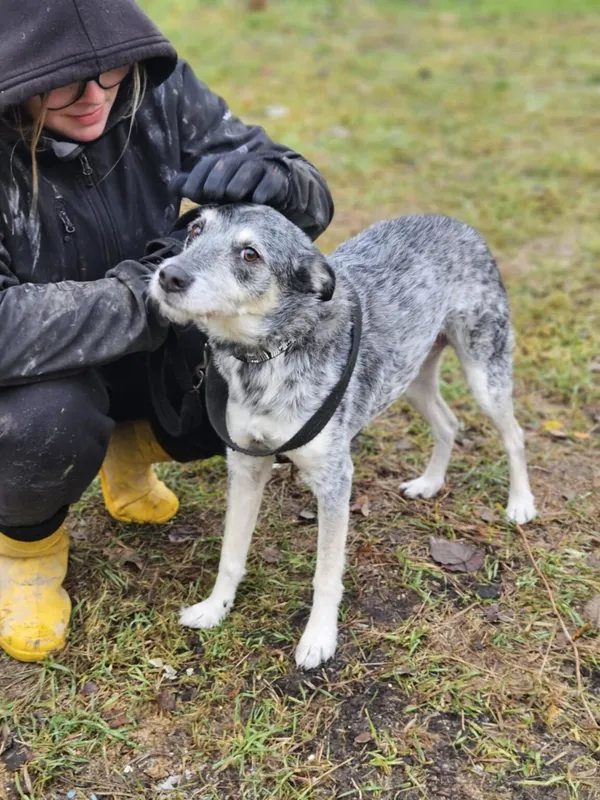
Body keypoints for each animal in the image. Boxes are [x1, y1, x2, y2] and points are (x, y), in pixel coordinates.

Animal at [149, 205, 536, 668]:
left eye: (249, 254)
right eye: (194, 230)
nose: (168, 275)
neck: (267, 357)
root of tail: (452, 221)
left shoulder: (335, 480)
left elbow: (326, 574)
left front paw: (319, 638)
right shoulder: (245, 466)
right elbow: (231, 554)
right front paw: (214, 609)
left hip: (483, 373)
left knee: (514, 435)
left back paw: (520, 504)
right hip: (411, 377)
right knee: (448, 423)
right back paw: (430, 482)